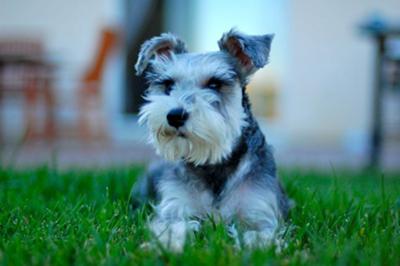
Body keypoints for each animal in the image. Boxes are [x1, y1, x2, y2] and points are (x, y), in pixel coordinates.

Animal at [133, 29, 290, 251]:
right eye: (168, 84)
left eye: (215, 83)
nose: (175, 115)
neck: (213, 162)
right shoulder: (174, 208)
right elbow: (173, 228)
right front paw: (167, 245)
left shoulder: (260, 214)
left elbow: (259, 237)